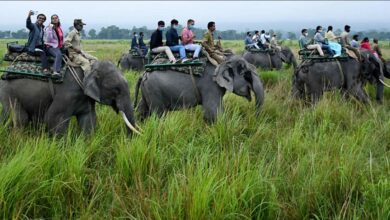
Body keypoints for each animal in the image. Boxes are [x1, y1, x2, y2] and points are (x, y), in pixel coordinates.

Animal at [0, 61, 140, 135]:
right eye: (116, 89)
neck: (89, 67)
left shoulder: (86, 98)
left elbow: (88, 119)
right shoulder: (67, 92)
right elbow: (54, 119)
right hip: (8, 91)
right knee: (20, 119)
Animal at [134, 55, 266, 122]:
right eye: (246, 74)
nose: (254, 117)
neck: (222, 61)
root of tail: (144, 73)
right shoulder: (210, 85)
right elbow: (212, 112)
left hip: (147, 90)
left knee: (142, 111)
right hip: (154, 91)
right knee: (159, 115)